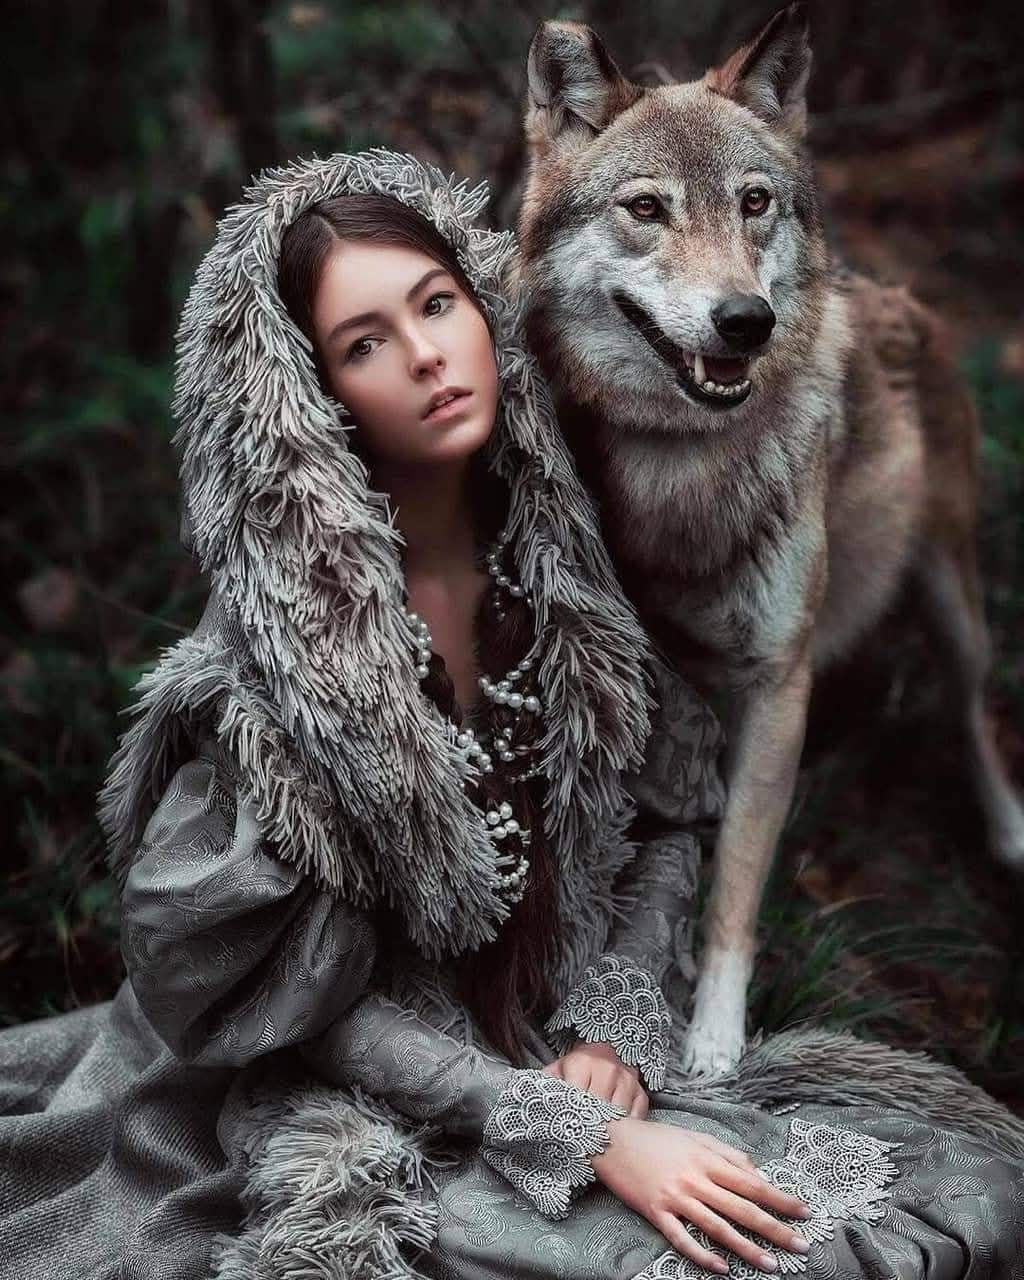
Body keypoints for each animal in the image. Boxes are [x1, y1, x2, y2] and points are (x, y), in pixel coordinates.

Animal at [515, 1, 1024, 1077]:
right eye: (646, 208)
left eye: (753, 203)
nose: (743, 320)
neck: (680, 469)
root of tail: (896, 292)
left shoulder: (778, 684)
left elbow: (736, 886)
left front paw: (712, 1040)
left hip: (952, 603)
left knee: (973, 709)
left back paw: (1008, 832)